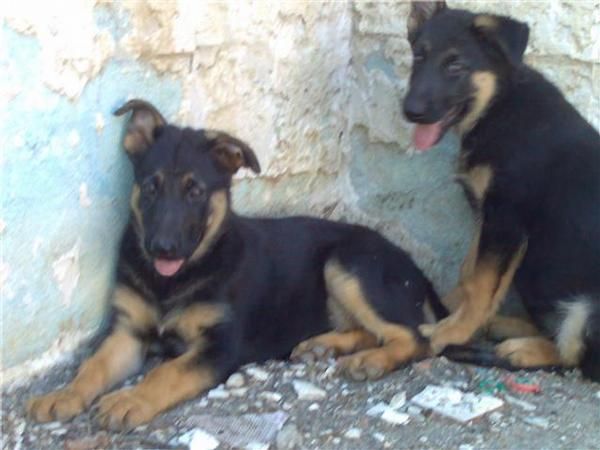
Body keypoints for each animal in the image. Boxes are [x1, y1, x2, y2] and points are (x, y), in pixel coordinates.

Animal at [27, 99, 446, 428]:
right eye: (150, 187)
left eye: (195, 191)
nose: (163, 249)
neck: (176, 280)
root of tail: (413, 268)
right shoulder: (127, 333)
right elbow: (93, 366)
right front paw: (64, 394)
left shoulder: (220, 347)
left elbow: (166, 371)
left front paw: (132, 399)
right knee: (377, 329)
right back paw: (324, 347)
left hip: (347, 264)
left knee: (416, 337)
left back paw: (371, 361)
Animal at [404, 0, 600, 382]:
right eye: (419, 56)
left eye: (455, 65)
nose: (410, 112)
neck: (500, 105)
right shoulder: (489, 217)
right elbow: (470, 273)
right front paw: (452, 311)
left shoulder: (506, 219)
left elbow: (480, 283)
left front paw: (452, 330)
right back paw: (507, 326)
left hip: (588, 309)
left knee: (577, 360)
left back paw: (522, 349)